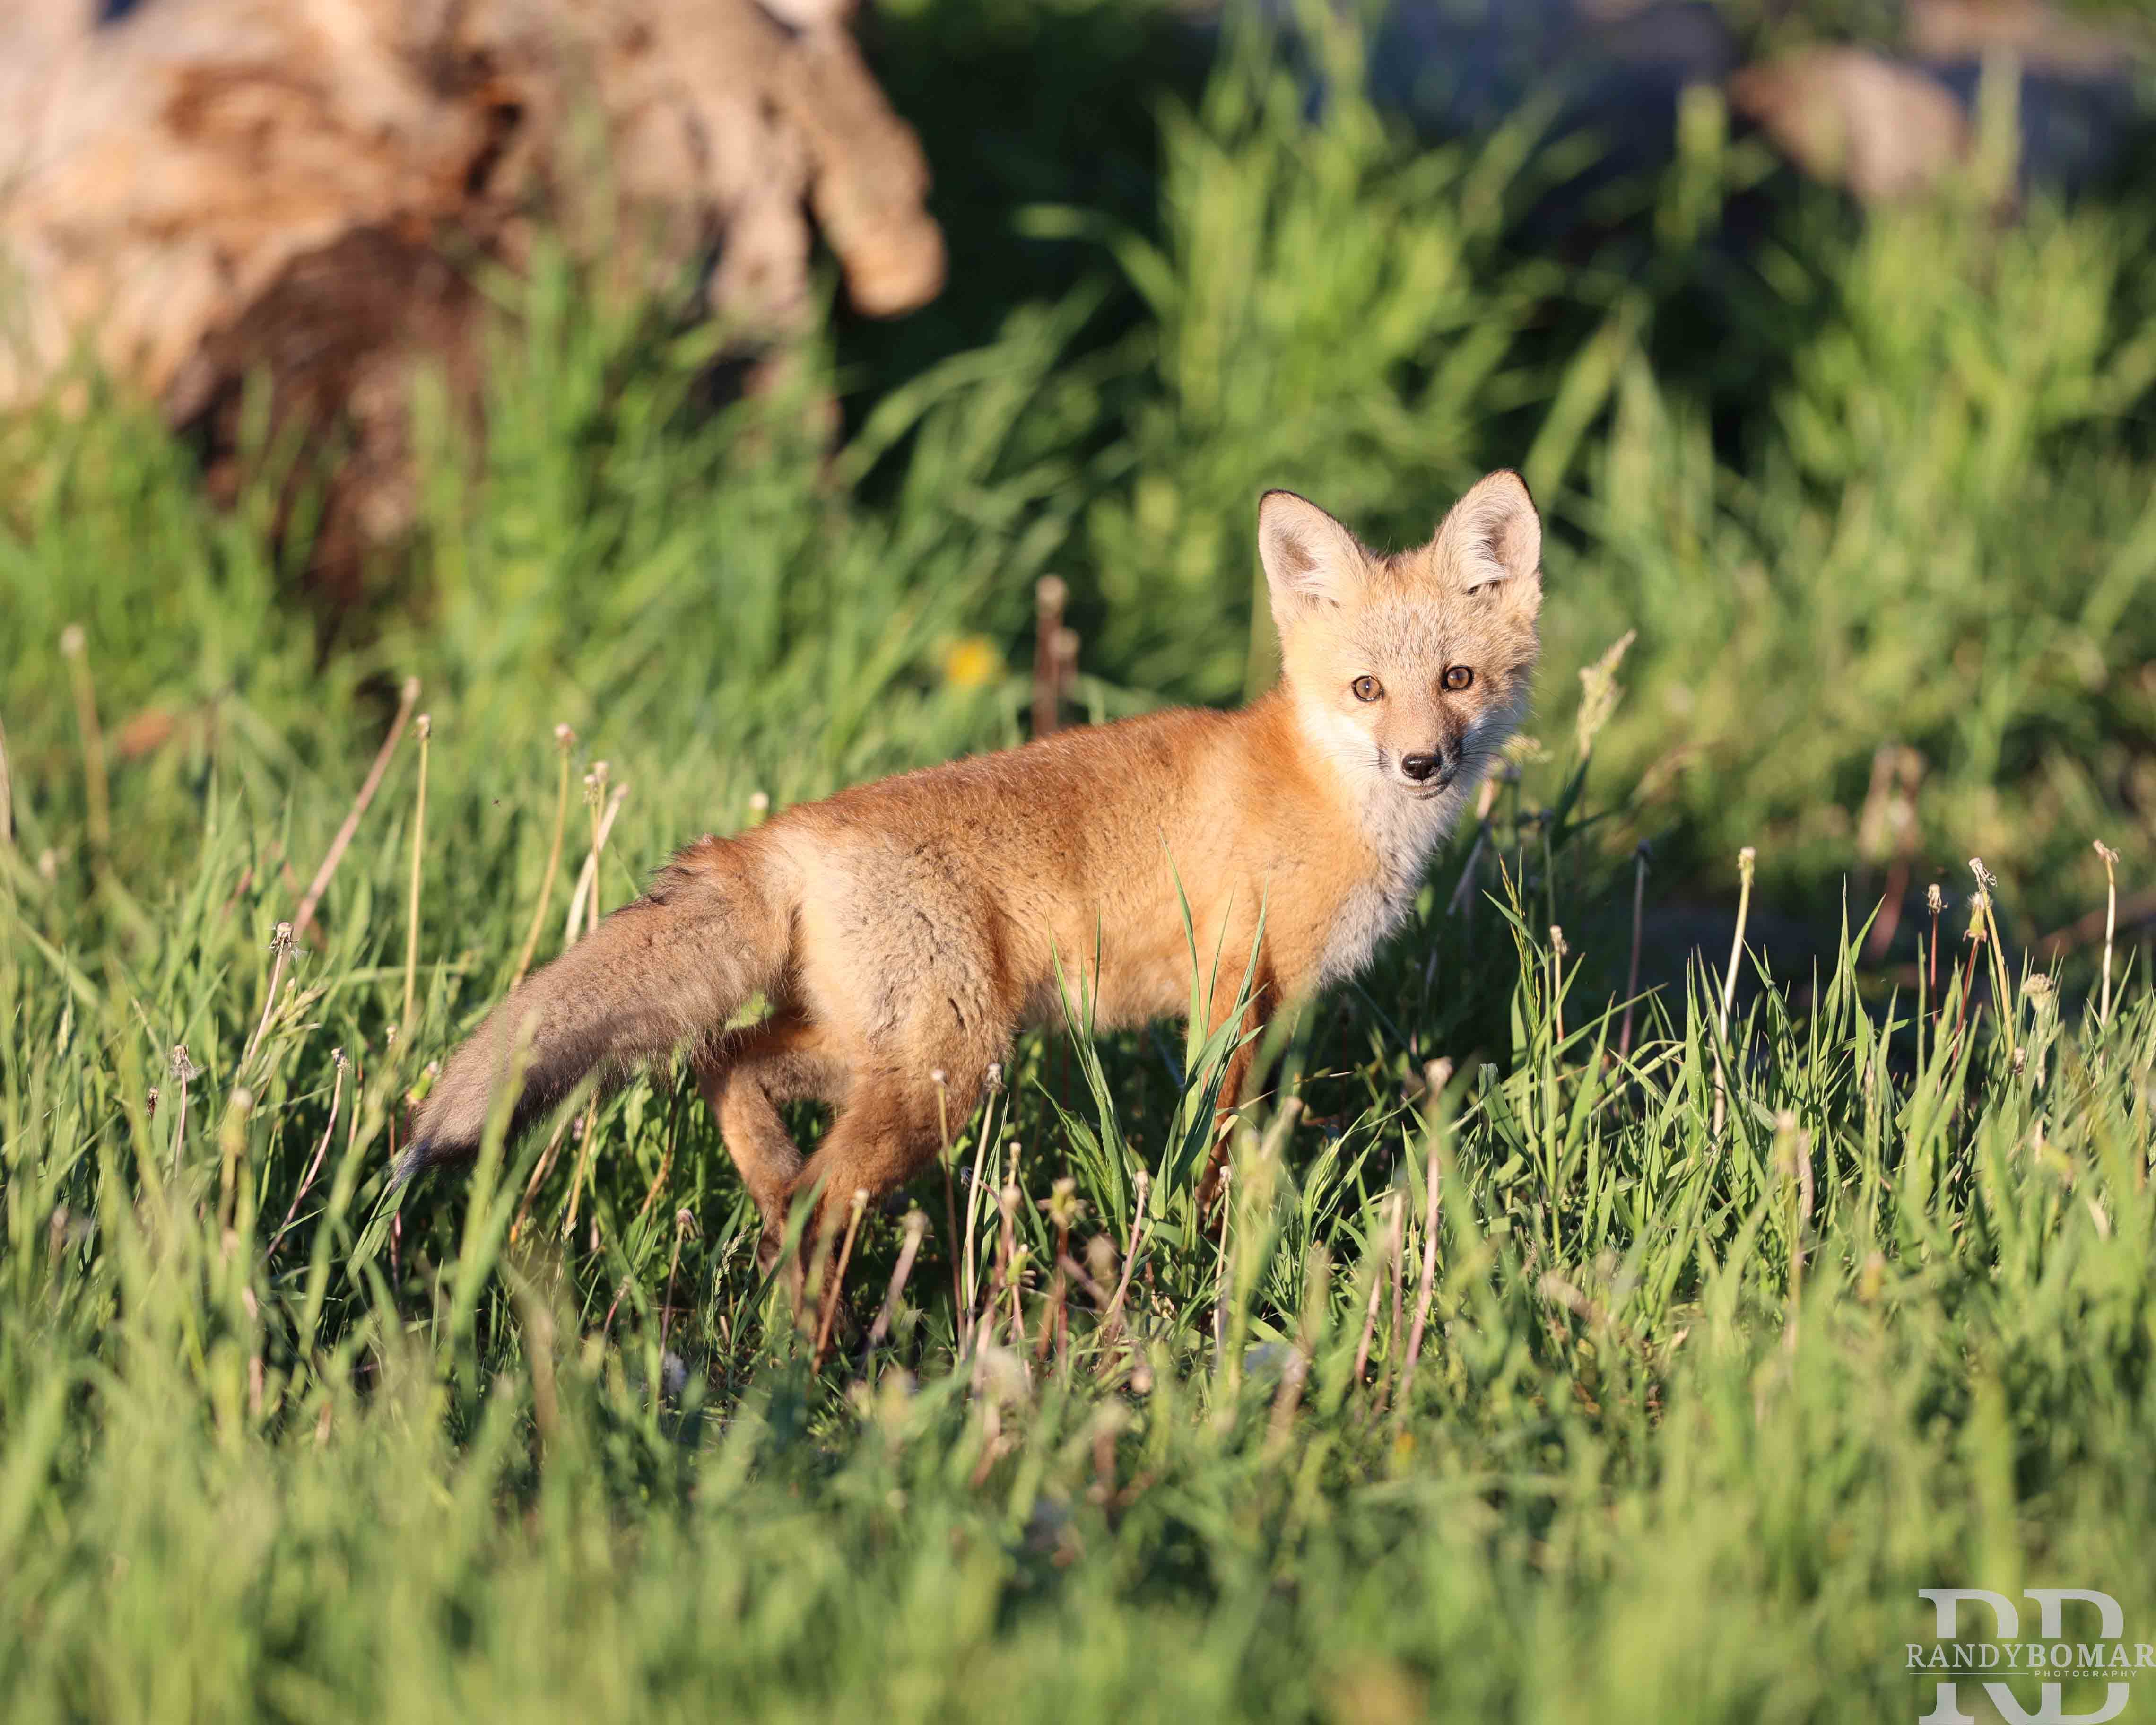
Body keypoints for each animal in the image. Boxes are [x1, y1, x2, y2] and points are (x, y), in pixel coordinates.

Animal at [401, 470, 1543, 1270]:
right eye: (1366, 689)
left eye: (1456, 680)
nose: (1423, 763)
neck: (1321, 791)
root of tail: (792, 834)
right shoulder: (1234, 990)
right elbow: (1216, 1143)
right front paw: (1215, 1242)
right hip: (949, 1063)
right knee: (819, 1191)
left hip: (884, 1044)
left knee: (722, 1064)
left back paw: (769, 1216)